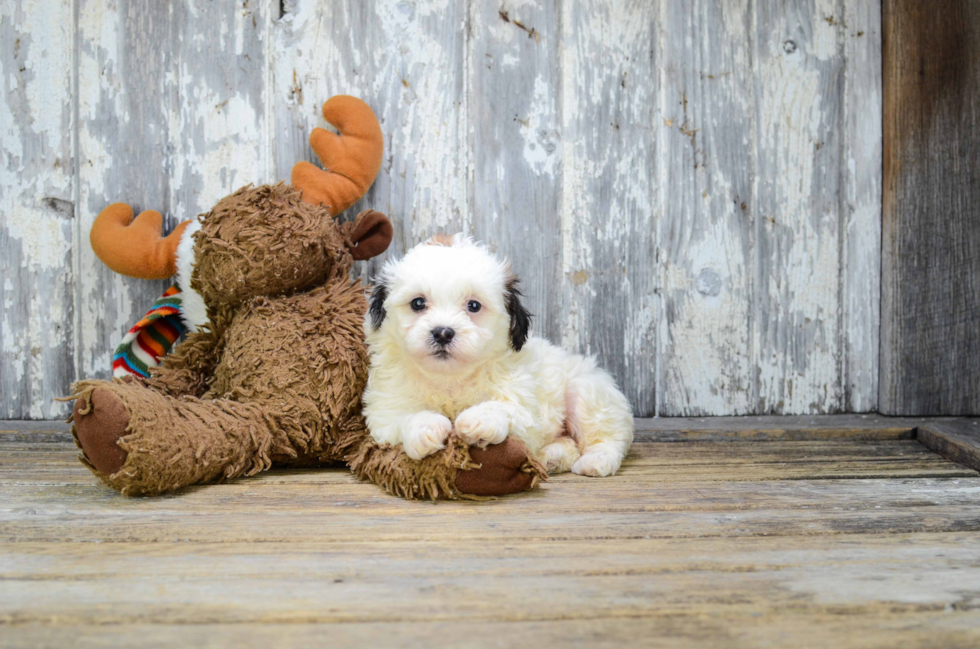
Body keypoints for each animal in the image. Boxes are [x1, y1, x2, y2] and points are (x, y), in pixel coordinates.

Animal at [364, 234, 632, 476]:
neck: (450, 378)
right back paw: (551, 457)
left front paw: (479, 420)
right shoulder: (385, 410)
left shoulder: (525, 408)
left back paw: (596, 460)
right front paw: (425, 429)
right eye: (418, 303)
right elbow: (403, 417)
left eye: (473, 306)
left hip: (587, 390)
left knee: (606, 436)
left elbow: (503, 408)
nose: (442, 333)